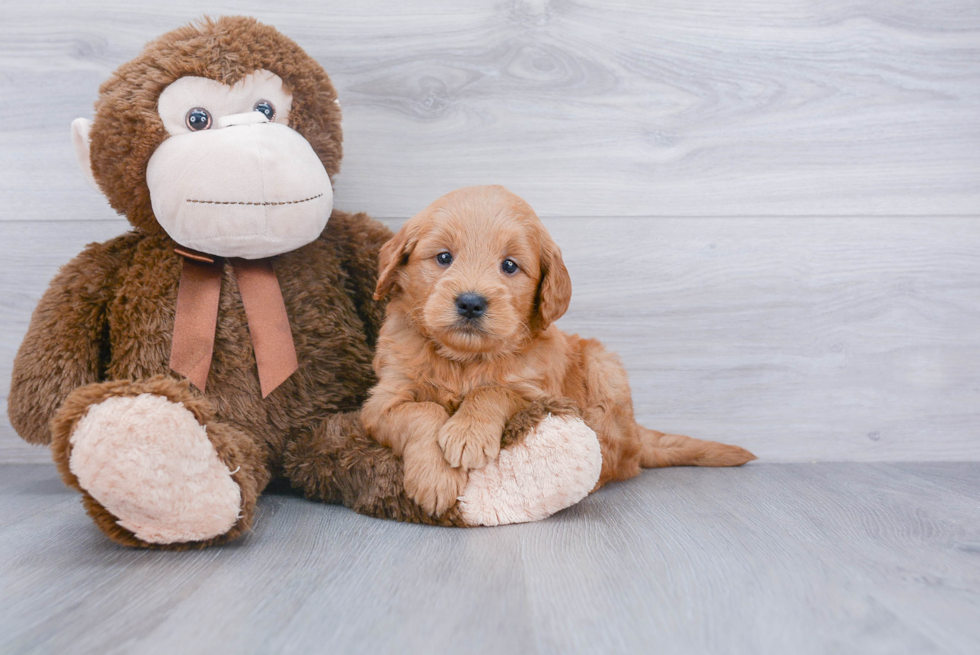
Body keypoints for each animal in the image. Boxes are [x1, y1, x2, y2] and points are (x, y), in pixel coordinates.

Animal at [364, 186, 756, 516]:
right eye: (443, 257)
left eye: (509, 265)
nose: (471, 303)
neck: (465, 360)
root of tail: (636, 431)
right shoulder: (381, 402)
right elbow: (424, 411)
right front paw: (436, 478)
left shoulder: (540, 393)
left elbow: (494, 390)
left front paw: (467, 433)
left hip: (604, 371)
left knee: (616, 460)